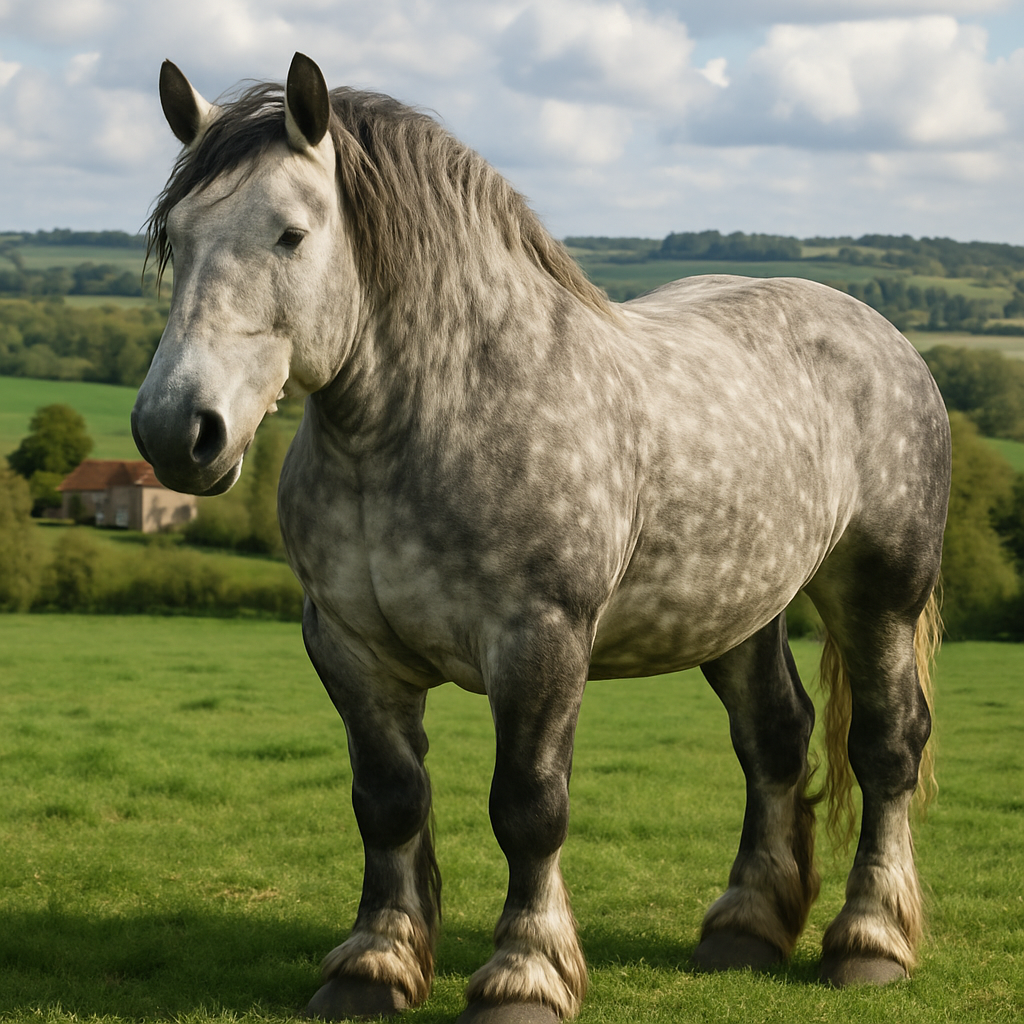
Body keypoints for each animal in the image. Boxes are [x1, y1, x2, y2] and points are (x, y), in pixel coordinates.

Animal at [131, 53, 951, 1024]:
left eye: (290, 236)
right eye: (177, 239)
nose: (176, 432)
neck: (431, 417)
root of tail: (881, 332)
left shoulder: (541, 643)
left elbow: (528, 808)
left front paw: (525, 975)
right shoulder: (348, 648)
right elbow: (390, 803)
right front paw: (375, 965)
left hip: (879, 594)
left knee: (888, 745)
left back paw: (871, 940)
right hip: (739, 610)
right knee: (775, 739)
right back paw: (744, 930)